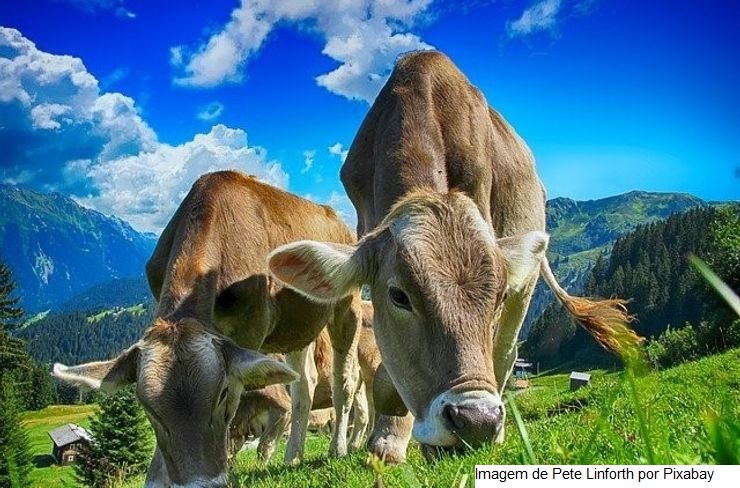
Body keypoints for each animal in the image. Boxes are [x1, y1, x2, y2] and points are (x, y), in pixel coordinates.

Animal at [53, 171, 364, 486]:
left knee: (344, 380)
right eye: (147, 408)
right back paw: (293, 456)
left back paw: (339, 448)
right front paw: (157, 477)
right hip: (297, 328)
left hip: (347, 306)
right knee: (304, 384)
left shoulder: (251, 330)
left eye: (223, 393)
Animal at [268, 51, 640, 460]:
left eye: (497, 297)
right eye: (398, 296)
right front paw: (388, 440)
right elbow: (386, 371)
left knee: (505, 353)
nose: (477, 421)